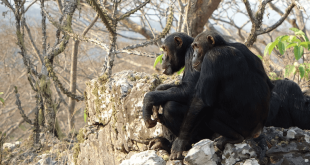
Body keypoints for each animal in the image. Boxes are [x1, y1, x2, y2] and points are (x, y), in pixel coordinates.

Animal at [168, 31, 272, 160]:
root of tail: (257, 131)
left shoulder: (212, 58)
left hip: (243, 129)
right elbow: (269, 84)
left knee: (211, 115)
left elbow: (201, 101)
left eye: (196, 46)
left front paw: (179, 143)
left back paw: (233, 138)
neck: (223, 45)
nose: (194, 55)